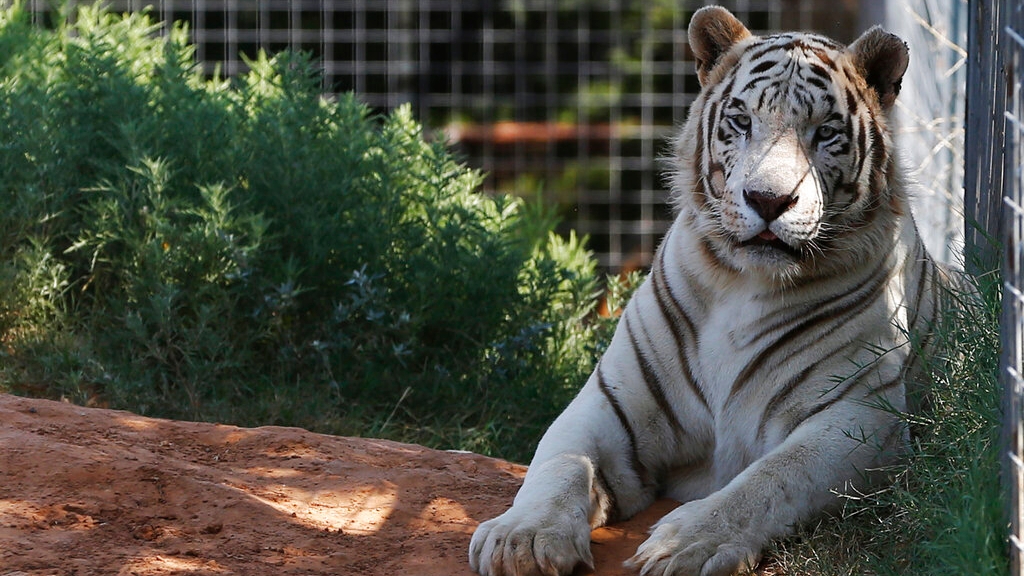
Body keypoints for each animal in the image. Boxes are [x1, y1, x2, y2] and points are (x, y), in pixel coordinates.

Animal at [469, 5, 948, 576]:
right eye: (741, 121)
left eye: (826, 132)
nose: (768, 200)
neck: (743, 285)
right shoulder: (609, 403)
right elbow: (559, 463)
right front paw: (520, 538)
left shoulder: (861, 415)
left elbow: (771, 479)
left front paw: (685, 544)